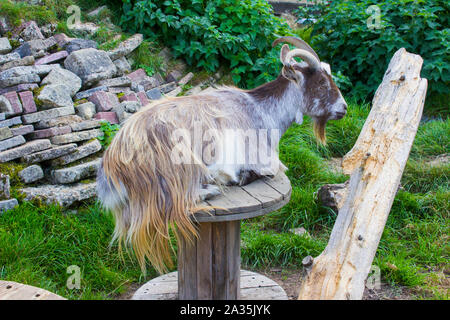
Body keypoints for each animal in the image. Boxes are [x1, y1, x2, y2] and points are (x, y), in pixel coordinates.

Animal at [96, 37, 348, 272]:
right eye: (322, 83)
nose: (344, 108)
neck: (261, 111)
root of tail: (114, 163)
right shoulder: (264, 160)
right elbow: (268, 171)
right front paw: (238, 176)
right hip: (179, 163)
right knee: (180, 201)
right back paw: (214, 187)